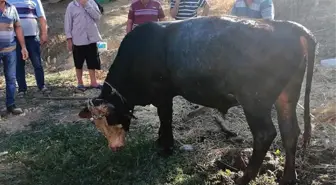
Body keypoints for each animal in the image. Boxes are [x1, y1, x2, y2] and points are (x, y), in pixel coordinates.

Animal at [79, 16, 318, 185]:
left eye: (110, 119)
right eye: (98, 126)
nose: (114, 148)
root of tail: (286, 26)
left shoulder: (163, 95)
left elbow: (165, 119)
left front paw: (166, 147)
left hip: (254, 101)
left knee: (265, 135)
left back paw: (244, 178)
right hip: (286, 95)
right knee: (290, 132)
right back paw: (288, 178)